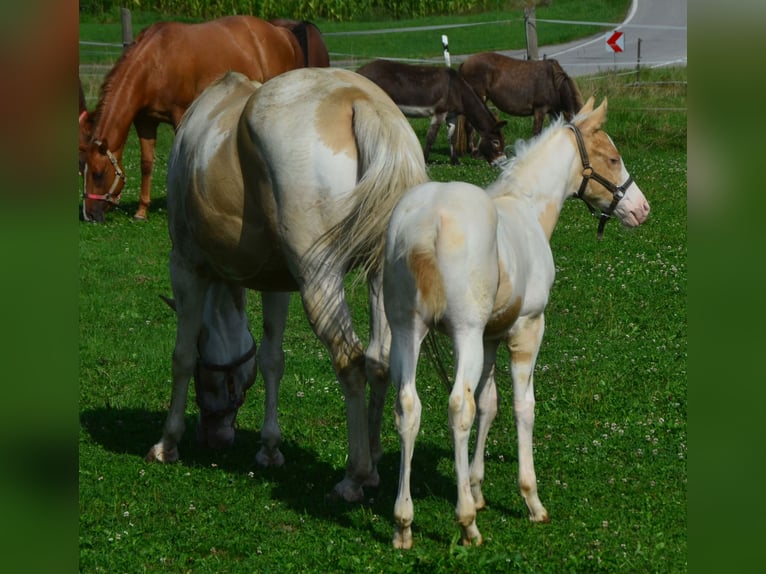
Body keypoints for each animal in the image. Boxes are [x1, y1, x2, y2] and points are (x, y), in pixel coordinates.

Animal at [79, 16, 329, 223]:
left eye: (99, 174)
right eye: (82, 168)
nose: (89, 215)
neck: (155, 62)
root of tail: (282, 33)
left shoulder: (180, 115)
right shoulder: (145, 122)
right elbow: (146, 163)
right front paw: (141, 211)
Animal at [145, 67, 429, 503]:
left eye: (210, 378)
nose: (214, 438)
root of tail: (358, 100)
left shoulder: (186, 268)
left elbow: (182, 356)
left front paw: (167, 443)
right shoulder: (276, 284)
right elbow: (271, 360)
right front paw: (269, 448)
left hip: (320, 279)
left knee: (351, 361)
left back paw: (355, 475)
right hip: (381, 276)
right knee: (379, 360)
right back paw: (374, 461)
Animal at [356, 59, 507, 166]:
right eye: (495, 141)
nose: (502, 163)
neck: (457, 90)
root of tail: (359, 70)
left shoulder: (451, 115)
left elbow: (451, 137)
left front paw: (455, 161)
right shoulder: (439, 112)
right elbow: (431, 137)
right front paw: (424, 160)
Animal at [383, 97, 650, 548]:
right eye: (613, 158)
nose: (642, 209)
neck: (527, 210)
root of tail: (425, 224)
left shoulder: (492, 337)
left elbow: (490, 404)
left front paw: (477, 487)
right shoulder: (527, 327)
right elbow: (523, 407)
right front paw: (530, 500)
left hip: (408, 331)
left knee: (408, 407)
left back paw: (404, 523)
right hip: (464, 334)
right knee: (459, 407)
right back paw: (467, 523)